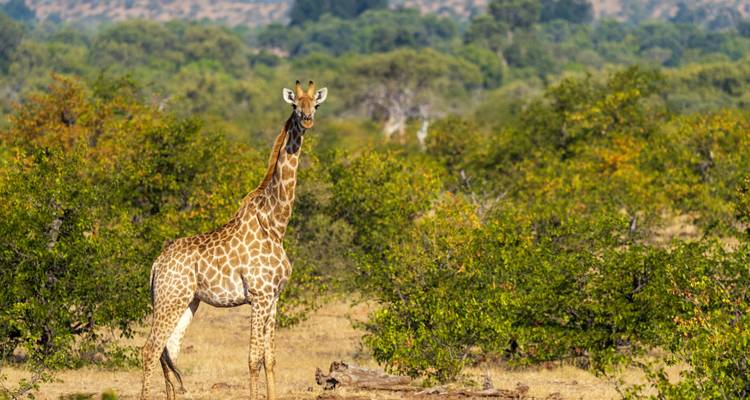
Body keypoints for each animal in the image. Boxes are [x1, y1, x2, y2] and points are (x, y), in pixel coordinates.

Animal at [140, 80, 328, 400]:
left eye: (315, 104)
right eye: (294, 105)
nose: (306, 119)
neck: (275, 225)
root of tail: (156, 265)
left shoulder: (274, 298)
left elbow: (270, 359)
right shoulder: (259, 296)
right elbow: (253, 359)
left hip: (186, 302)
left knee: (168, 351)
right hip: (170, 298)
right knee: (150, 349)